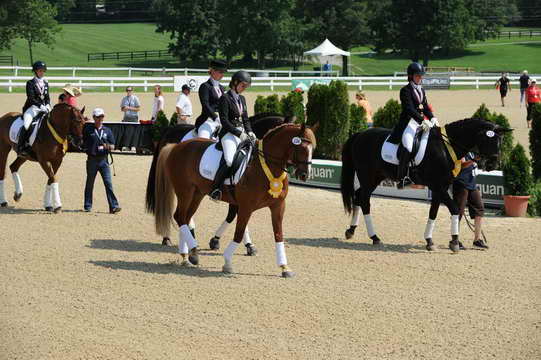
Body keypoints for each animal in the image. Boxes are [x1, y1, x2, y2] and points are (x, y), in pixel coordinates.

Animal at [144, 112, 292, 253]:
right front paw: (221, 241)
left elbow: (233, 216)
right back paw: (171, 237)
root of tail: (171, 129)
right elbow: (235, 216)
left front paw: (230, 242)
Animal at [149, 124, 316, 278]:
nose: (304, 175)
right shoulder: (246, 207)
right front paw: (228, 262)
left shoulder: (278, 206)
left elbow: (278, 235)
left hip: (197, 194)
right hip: (185, 191)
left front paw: (284, 267)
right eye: (301, 147)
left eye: (312, 148)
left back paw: (186, 255)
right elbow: (239, 232)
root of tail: (176, 146)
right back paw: (194, 253)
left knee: (185, 217)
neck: (267, 168)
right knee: (179, 216)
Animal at [340, 119, 508, 253]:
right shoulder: (438, 186)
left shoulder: (439, 188)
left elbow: (433, 213)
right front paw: (454, 242)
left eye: (499, 142)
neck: (446, 148)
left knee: (358, 196)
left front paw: (429, 241)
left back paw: (351, 231)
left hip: (375, 178)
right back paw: (374, 237)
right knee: (364, 201)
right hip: (367, 177)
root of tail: (360, 134)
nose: (492, 164)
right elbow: (454, 209)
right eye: (488, 140)